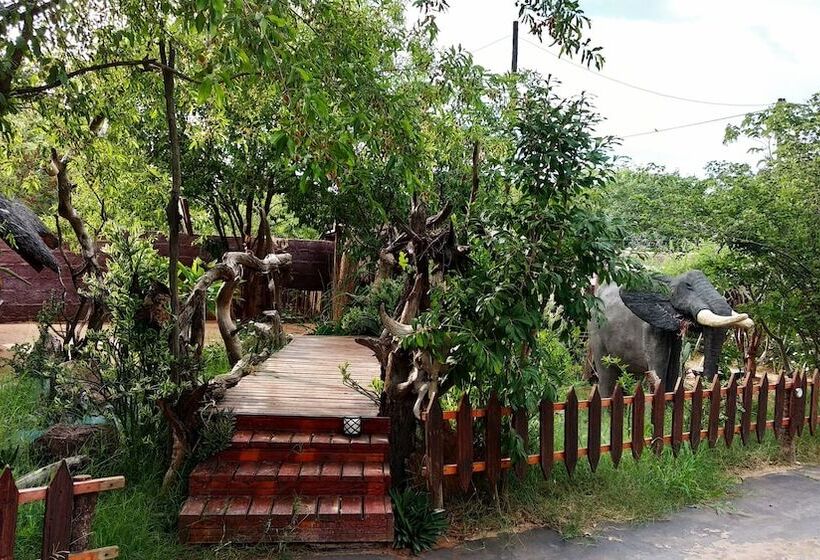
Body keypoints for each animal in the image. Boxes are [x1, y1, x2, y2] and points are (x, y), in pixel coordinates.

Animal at [589, 270, 754, 397]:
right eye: (688, 286)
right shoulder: (652, 328)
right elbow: (659, 367)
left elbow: (673, 368)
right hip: (595, 330)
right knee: (606, 373)